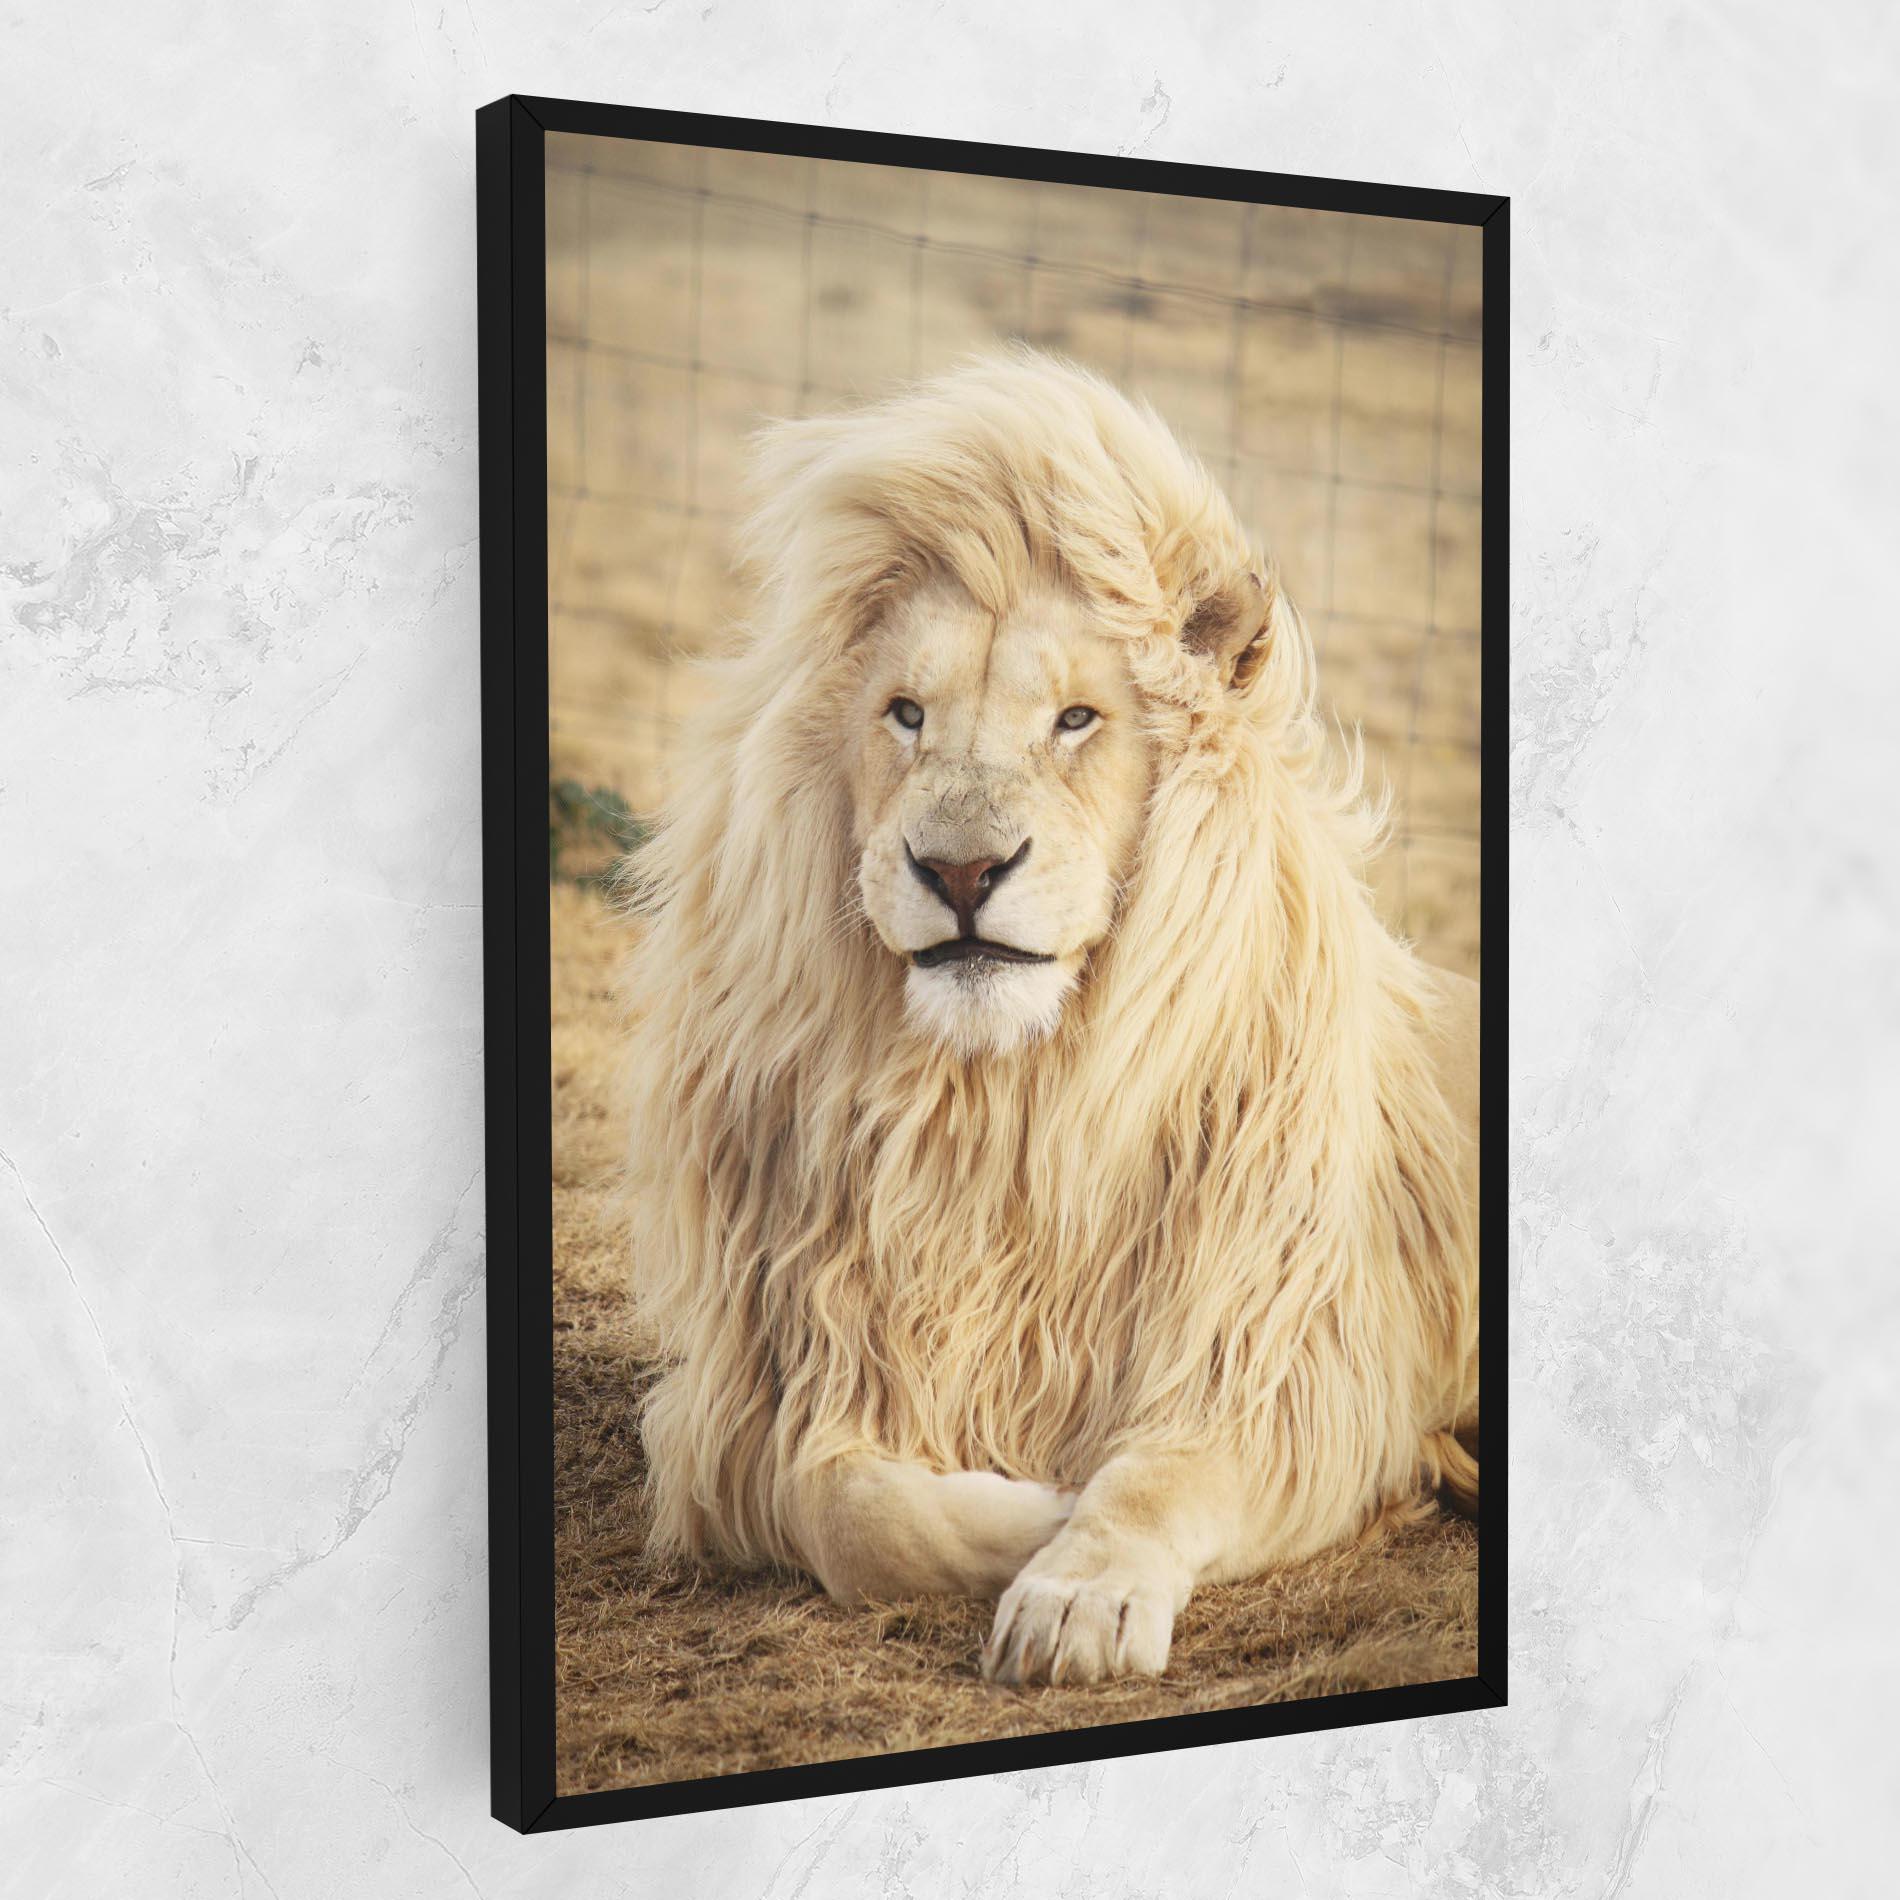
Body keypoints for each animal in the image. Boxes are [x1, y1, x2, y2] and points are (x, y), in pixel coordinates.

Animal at [619, 349, 1479, 1687]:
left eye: (1076, 719)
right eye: (906, 714)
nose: (961, 870)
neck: (1002, 1107)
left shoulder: (1283, 1366)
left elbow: (1156, 1477)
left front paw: (1078, 1588)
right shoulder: (766, 1391)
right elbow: (848, 1507)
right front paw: (1027, 1509)